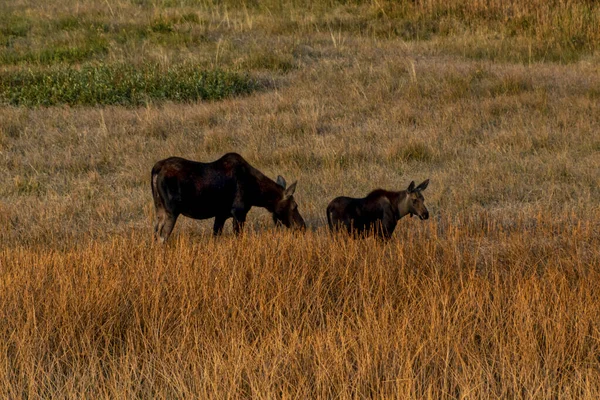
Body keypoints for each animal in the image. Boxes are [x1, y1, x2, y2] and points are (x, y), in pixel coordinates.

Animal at [150, 152, 304, 241]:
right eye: (295, 206)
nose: (302, 226)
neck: (256, 193)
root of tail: (156, 168)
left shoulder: (221, 215)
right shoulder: (239, 212)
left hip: (159, 209)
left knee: (155, 233)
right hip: (172, 211)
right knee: (162, 237)